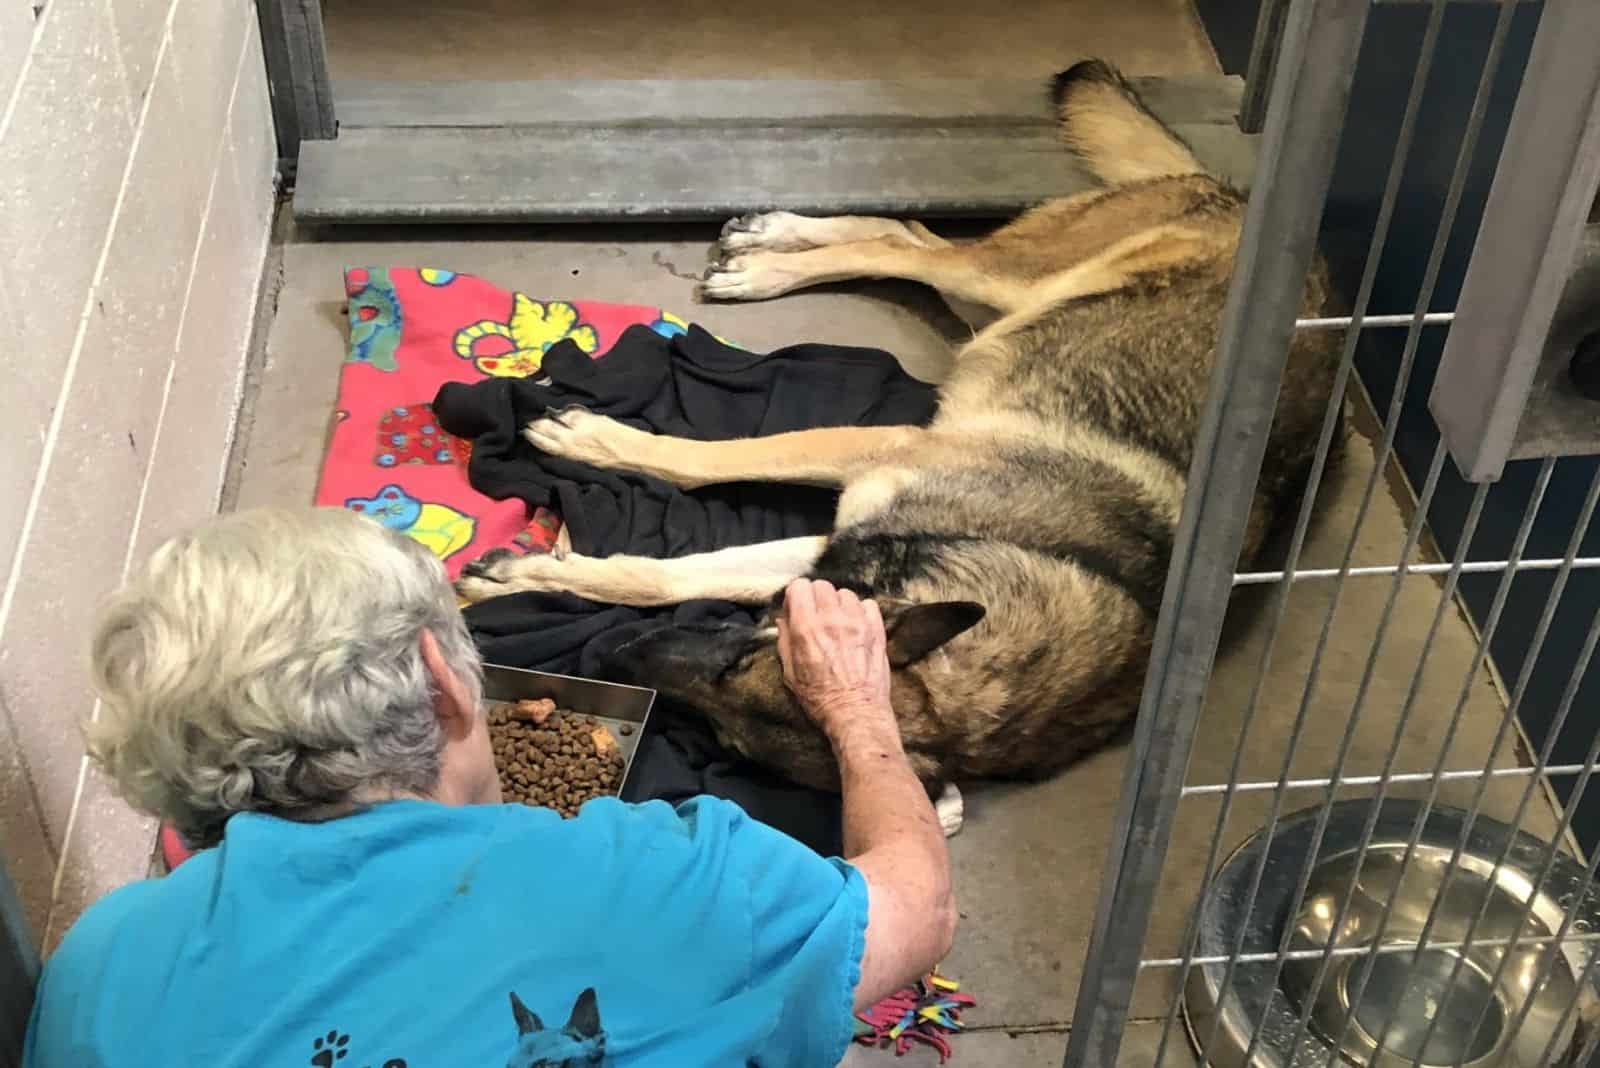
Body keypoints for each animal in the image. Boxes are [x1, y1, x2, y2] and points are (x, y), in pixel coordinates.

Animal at [457, 60, 1344, 831]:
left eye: (727, 733)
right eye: (740, 656)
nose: (621, 656)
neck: (1014, 559)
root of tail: (1242, 201)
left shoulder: (823, 557)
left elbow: (657, 574)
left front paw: (530, 575)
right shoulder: (875, 457)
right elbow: (706, 464)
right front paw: (591, 443)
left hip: (990, 308)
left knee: (913, 239)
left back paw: (773, 245)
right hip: (1007, 284)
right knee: (909, 244)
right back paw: (766, 259)